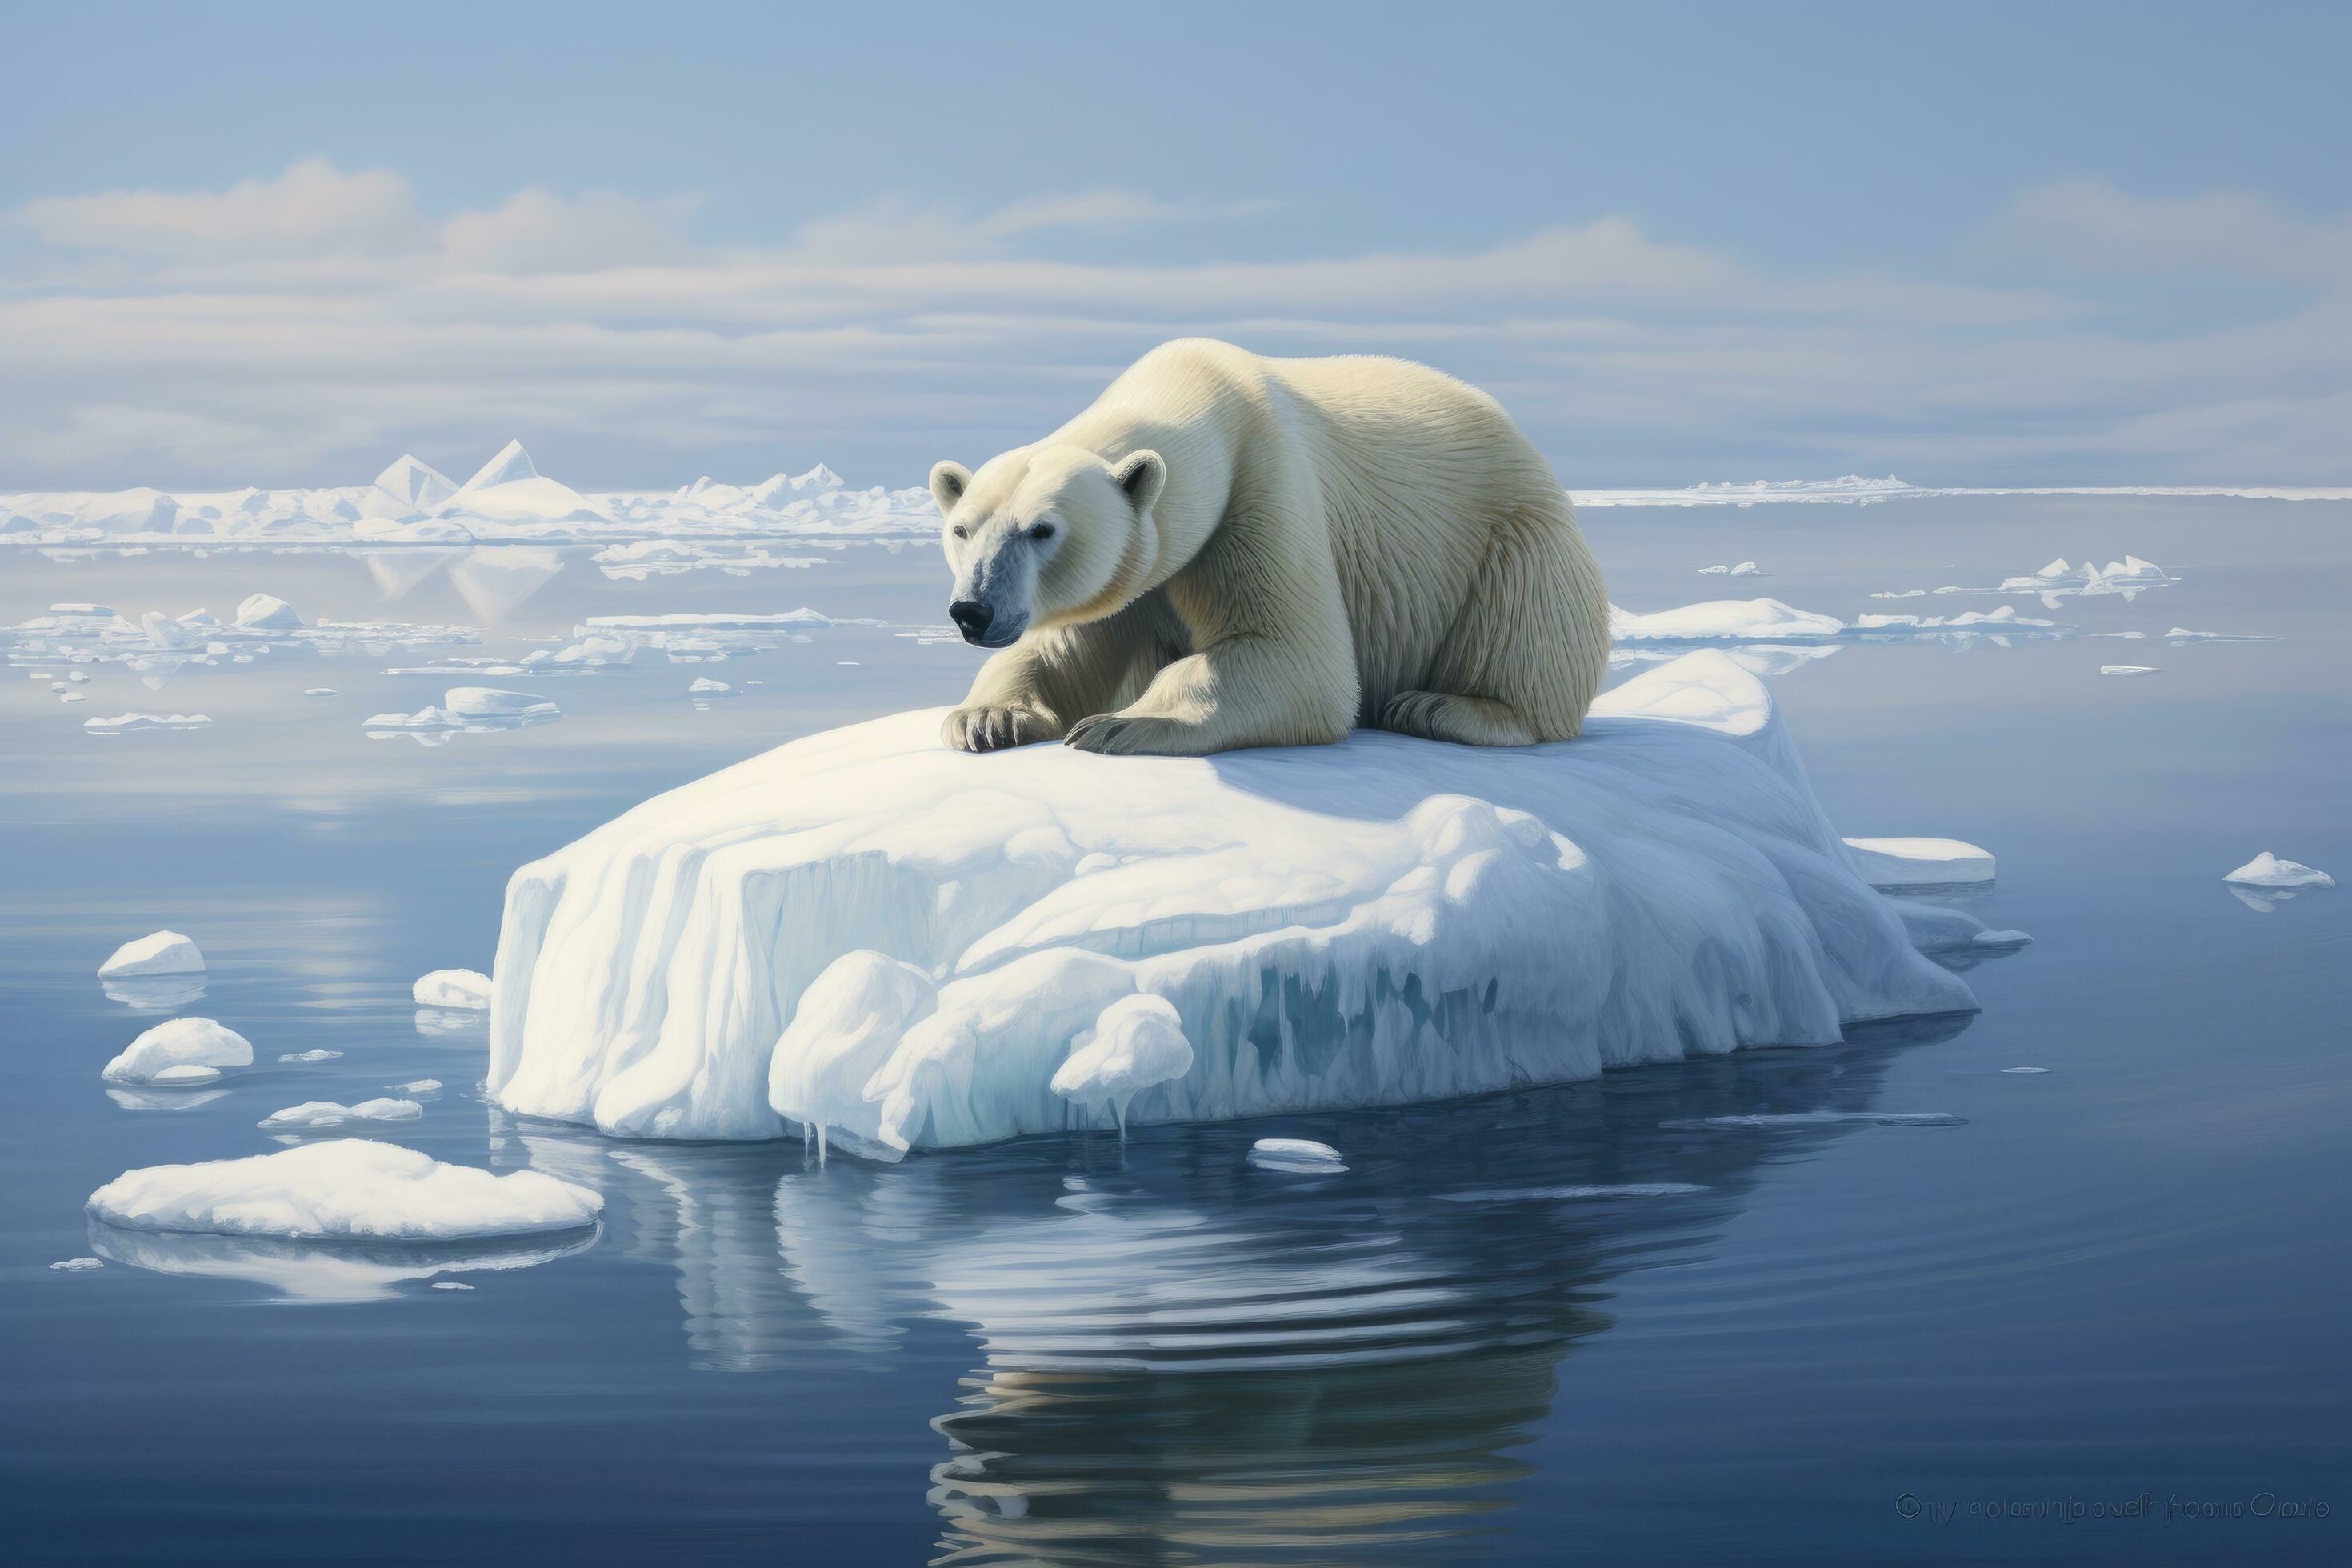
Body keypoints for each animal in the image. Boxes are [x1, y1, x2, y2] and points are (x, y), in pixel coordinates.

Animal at [930, 338, 1609, 756]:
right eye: (963, 529)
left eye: (1042, 530)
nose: (973, 611)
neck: (1196, 390)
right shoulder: (1139, 570)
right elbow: (1066, 650)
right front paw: (986, 718)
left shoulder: (1262, 486)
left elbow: (1296, 658)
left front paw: (1119, 723)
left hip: (1515, 531)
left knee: (1525, 620)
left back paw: (1440, 707)